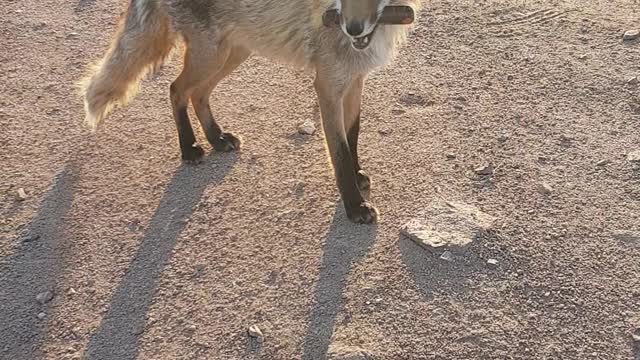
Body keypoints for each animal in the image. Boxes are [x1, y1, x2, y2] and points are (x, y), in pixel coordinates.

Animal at [81, 0, 420, 224]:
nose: (352, 28)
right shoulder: (327, 86)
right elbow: (338, 152)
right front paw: (354, 207)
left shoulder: (354, 79)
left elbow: (353, 135)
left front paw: (358, 173)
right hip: (212, 54)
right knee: (177, 90)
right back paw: (189, 149)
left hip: (233, 52)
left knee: (198, 94)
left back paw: (216, 139)